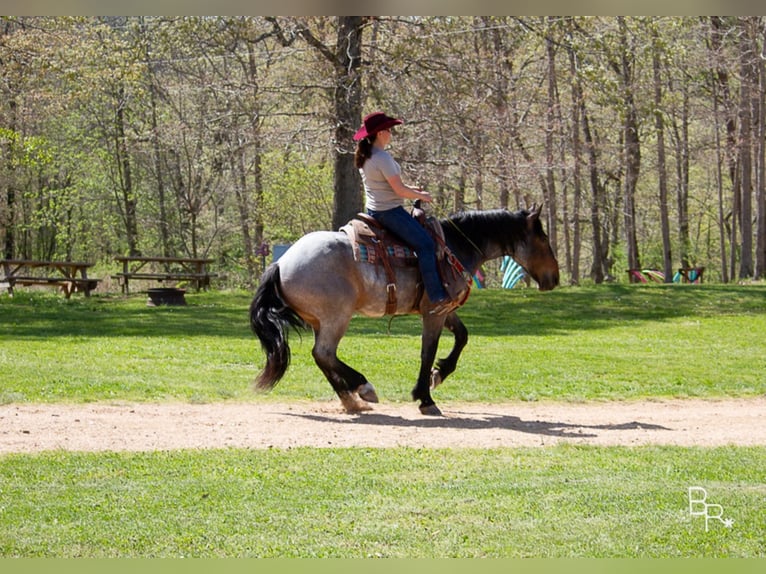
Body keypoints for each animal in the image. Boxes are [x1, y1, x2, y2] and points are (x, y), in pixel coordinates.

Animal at [250, 205, 560, 416]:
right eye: (543, 239)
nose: (555, 278)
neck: (454, 246)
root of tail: (281, 263)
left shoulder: (444, 310)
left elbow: (462, 336)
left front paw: (439, 375)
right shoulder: (434, 312)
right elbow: (428, 351)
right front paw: (425, 397)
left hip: (320, 320)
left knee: (323, 358)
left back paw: (351, 400)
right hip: (336, 318)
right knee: (324, 353)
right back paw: (363, 387)